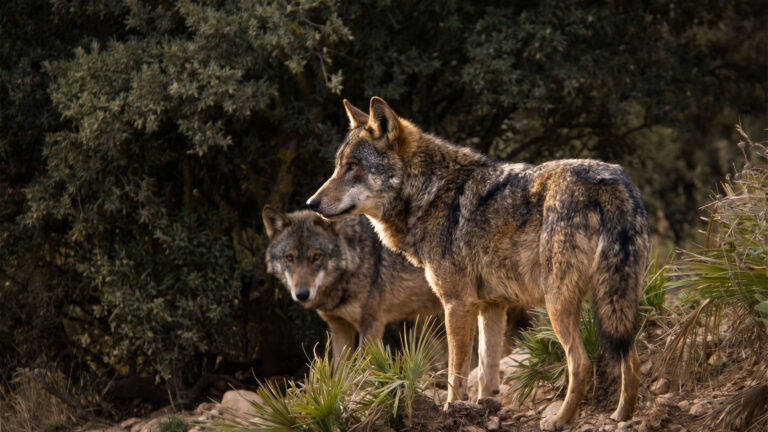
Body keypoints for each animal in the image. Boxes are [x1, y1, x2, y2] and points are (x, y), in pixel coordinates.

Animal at [262, 206, 443, 360]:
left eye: (316, 257)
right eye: (289, 258)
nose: (302, 294)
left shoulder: (372, 324)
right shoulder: (339, 326)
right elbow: (340, 373)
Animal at [307, 97, 649, 430]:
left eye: (353, 167)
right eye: (338, 167)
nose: (311, 203)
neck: (430, 193)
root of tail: (610, 180)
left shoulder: (457, 303)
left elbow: (455, 372)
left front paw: (451, 411)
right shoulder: (492, 305)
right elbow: (486, 369)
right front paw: (485, 409)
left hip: (558, 304)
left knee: (581, 363)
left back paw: (560, 420)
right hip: (618, 301)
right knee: (630, 357)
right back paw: (622, 415)